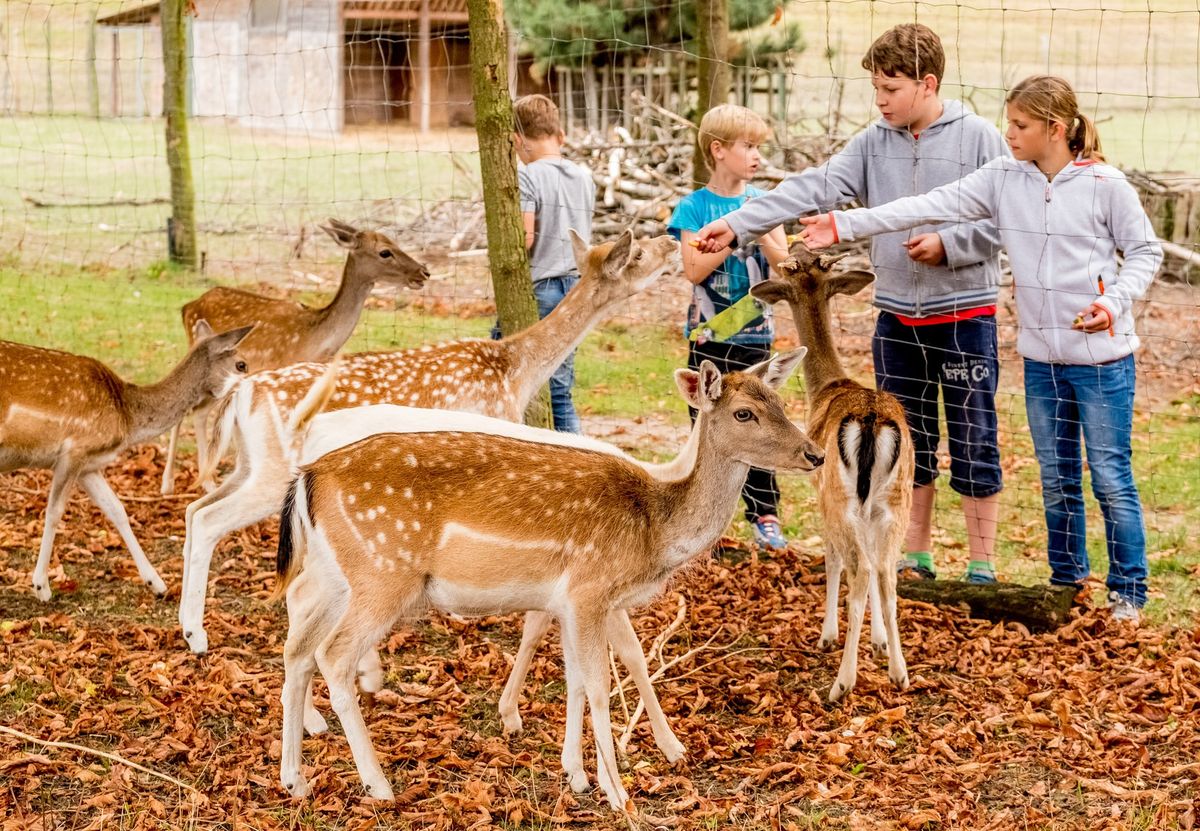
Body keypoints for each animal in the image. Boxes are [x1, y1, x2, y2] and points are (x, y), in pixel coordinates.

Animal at [0, 321, 253, 600]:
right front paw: (42, 587)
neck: (128, 418)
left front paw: (157, 584)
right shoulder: (74, 450)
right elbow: (54, 512)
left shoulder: (89, 465)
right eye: (241, 364)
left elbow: (117, 510)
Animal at [159, 217, 429, 497]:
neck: (315, 340)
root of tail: (187, 307)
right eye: (384, 252)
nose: (424, 272)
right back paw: (179, 483)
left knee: (198, 411)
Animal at [180, 229, 686, 658]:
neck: (515, 372)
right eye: (637, 253)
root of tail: (242, 392)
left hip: (250, 464)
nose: (673, 242)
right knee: (210, 519)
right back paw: (197, 636)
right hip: (272, 473)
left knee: (196, 508)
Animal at [277, 353, 825, 806]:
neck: (654, 529)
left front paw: (577, 775)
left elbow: (576, 679)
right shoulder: (590, 588)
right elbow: (599, 685)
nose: (815, 454)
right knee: (332, 654)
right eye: (744, 413)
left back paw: (295, 779)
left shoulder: (573, 601)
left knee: (299, 645)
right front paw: (618, 791)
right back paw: (379, 784)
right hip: (384, 571)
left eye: (779, 401)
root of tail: (308, 475)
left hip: (336, 574)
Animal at [753, 244, 912, 701]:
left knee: (859, 572)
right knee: (886, 575)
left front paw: (826, 635)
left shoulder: (821, 498)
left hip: (841, 499)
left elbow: (832, 562)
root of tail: (873, 419)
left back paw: (842, 682)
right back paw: (900, 673)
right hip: (898, 500)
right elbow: (877, 572)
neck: (826, 387)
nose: (796, 247)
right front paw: (879, 644)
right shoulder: (874, 513)